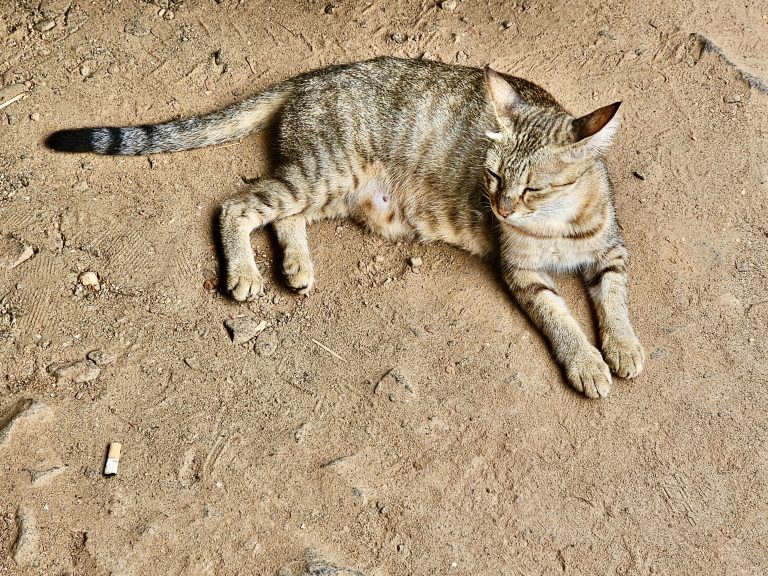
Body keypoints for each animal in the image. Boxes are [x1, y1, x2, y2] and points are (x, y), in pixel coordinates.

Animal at [46, 56, 640, 398]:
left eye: (533, 188)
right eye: (492, 176)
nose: (501, 210)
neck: (559, 225)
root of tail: (312, 76)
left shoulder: (611, 253)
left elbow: (613, 300)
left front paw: (623, 346)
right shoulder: (522, 272)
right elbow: (560, 317)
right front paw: (588, 363)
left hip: (339, 190)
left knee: (284, 217)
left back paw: (295, 265)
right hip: (327, 172)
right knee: (238, 205)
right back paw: (245, 273)